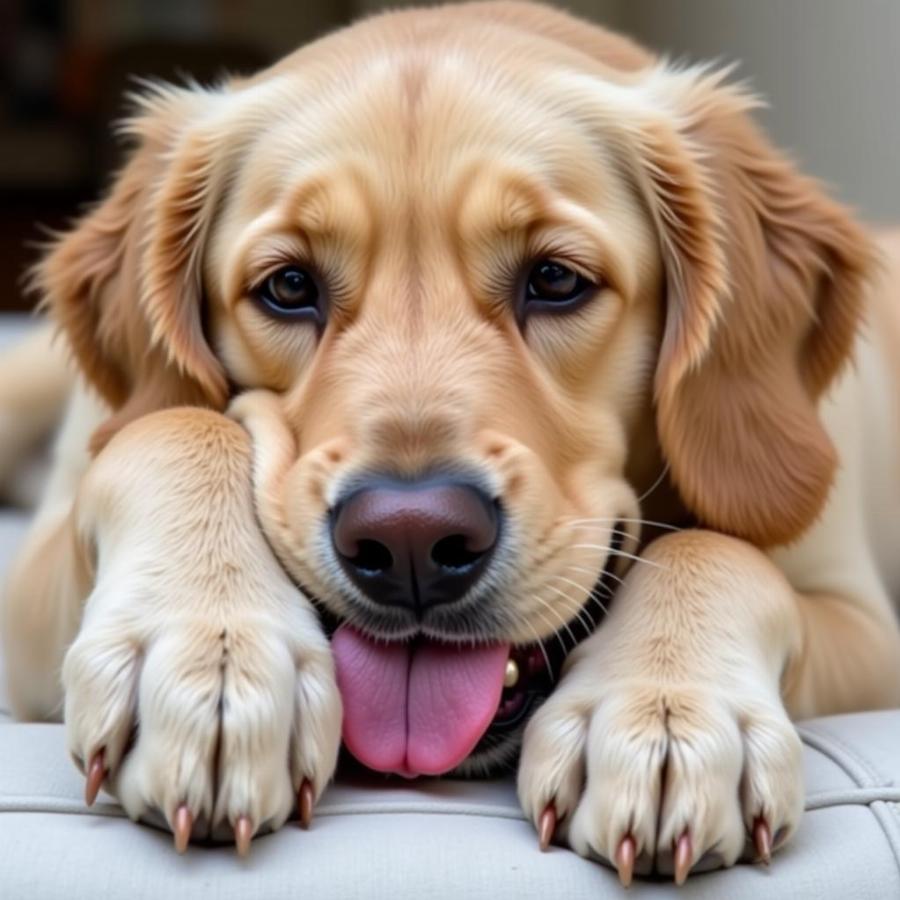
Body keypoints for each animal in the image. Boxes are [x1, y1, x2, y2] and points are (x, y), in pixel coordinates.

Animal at [1, 0, 900, 884]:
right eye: (288, 286)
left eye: (556, 279)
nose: (410, 542)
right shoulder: (28, 605)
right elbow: (167, 422)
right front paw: (212, 655)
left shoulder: (868, 627)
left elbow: (719, 550)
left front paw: (665, 710)